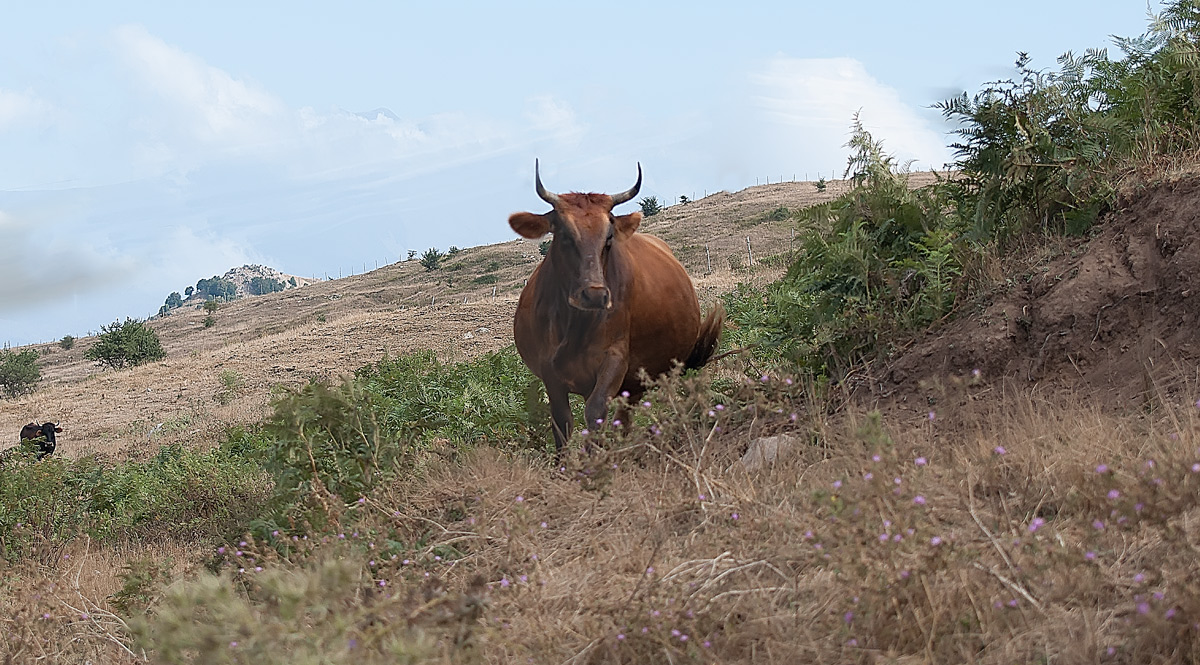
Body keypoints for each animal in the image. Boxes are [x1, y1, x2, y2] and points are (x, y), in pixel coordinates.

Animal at [509, 161, 724, 453]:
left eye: (608, 237)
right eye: (563, 234)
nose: (594, 295)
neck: (573, 326)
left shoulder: (616, 359)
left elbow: (596, 411)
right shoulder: (549, 371)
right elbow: (562, 423)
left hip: (637, 380)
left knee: (623, 418)